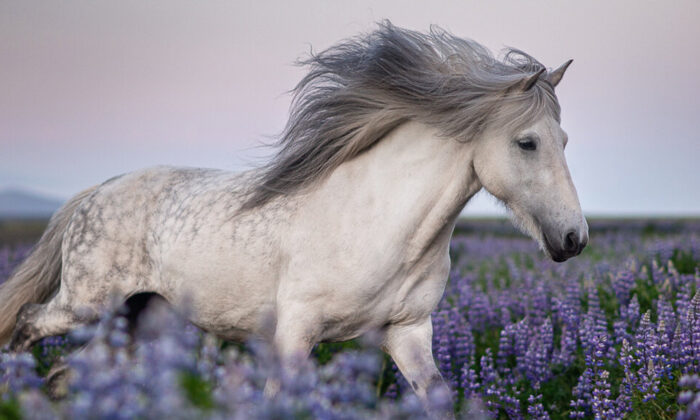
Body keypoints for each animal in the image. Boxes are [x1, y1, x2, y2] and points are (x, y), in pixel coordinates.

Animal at [0, 21, 588, 412]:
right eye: (527, 142)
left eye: (565, 140)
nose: (573, 238)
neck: (383, 225)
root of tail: (98, 189)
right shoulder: (296, 331)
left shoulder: (408, 332)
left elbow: (437, 397)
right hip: (88, 305)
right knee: (28, 325)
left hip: (134, 320)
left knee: (65, 374)